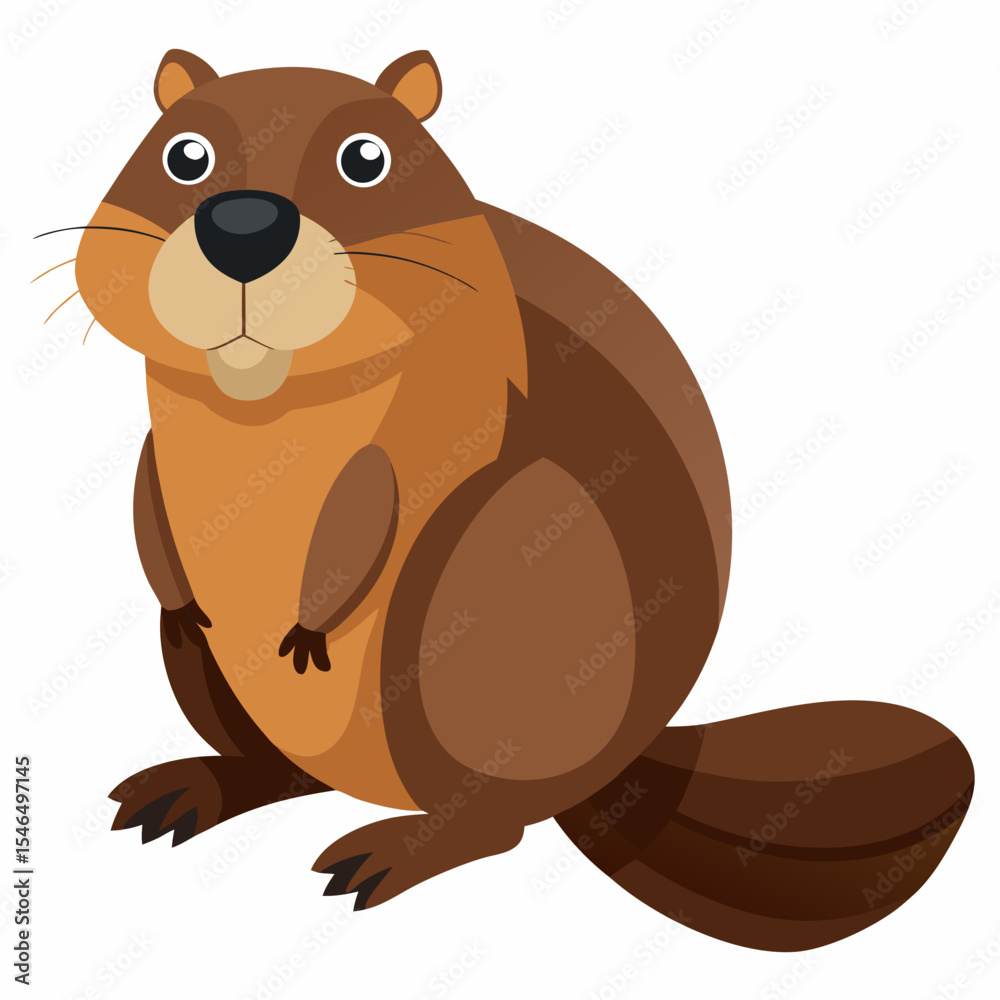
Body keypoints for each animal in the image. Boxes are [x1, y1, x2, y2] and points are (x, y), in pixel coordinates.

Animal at [53, 48, 973, 950]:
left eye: (366, 159)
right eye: (185, 155)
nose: (244, 226)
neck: (263, 393)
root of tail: (623, 774)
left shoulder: (440, 418)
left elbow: (369, 510)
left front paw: (311, 626)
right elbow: (146, 485)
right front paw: (182, 590)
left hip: (481, 595)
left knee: (496, 822)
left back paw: (387, 855)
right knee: (282, 769)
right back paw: (188, 791)